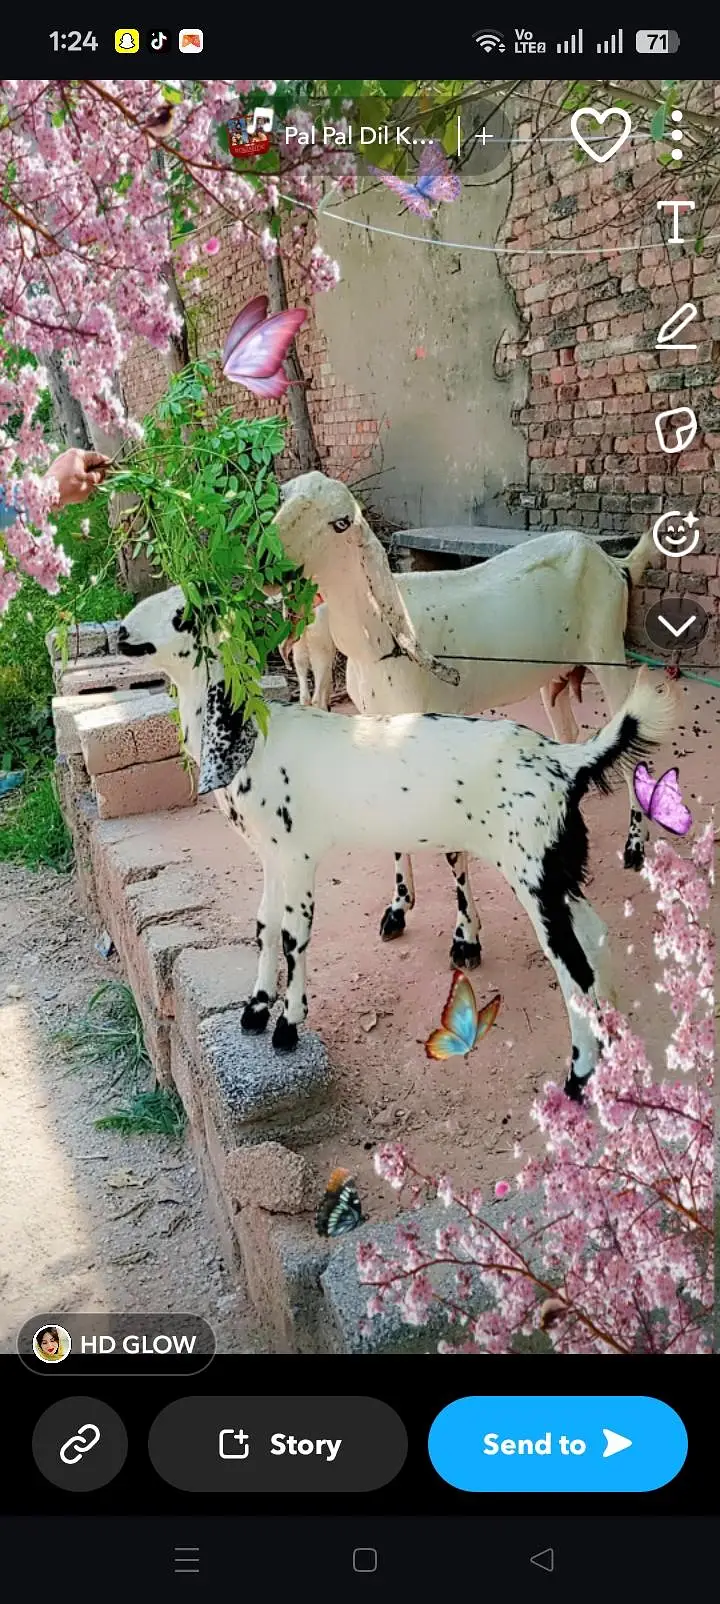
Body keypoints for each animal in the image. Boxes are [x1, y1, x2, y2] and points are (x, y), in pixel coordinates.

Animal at [117, 586, 677, 1099]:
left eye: (182, 614)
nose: (121, 632)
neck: (256, 736)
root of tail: (566, 761)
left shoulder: (298, 857)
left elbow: (294, 936)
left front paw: (288, 1027)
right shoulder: (271, 856)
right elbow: (263, 926)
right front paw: (254, 1010)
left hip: (532, 873)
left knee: (572, 966)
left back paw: (580, 1077)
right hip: (556, 867)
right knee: (596, 937)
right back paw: (611, 1038)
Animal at [273, 473, 657, 971]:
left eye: (341, 522)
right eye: (282, 497)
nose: (270, 562)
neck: (383, 643)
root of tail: (615, 562)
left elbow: (454, 849)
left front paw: (466, 940)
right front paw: (397, 910)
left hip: (608, 653)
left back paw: (635, 847)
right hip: (553, 674)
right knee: (568, 736)